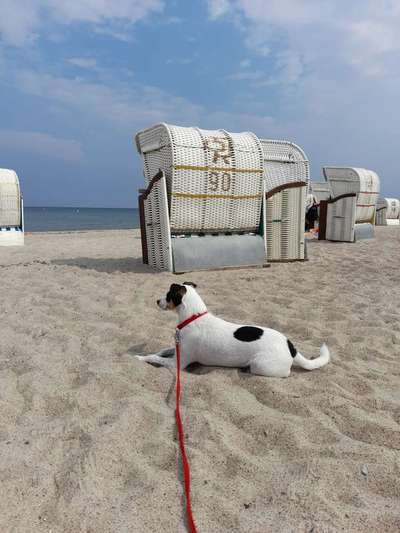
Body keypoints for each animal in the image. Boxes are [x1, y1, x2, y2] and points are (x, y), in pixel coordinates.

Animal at [136, 280, 330, 376]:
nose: (157, 301)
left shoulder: (177, 363)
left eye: (168, 295)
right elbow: (162, 350)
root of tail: (290, 347)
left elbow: (154, 357)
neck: (193, 317)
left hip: (260, 365)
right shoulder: (176, 349)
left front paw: (139, 357)